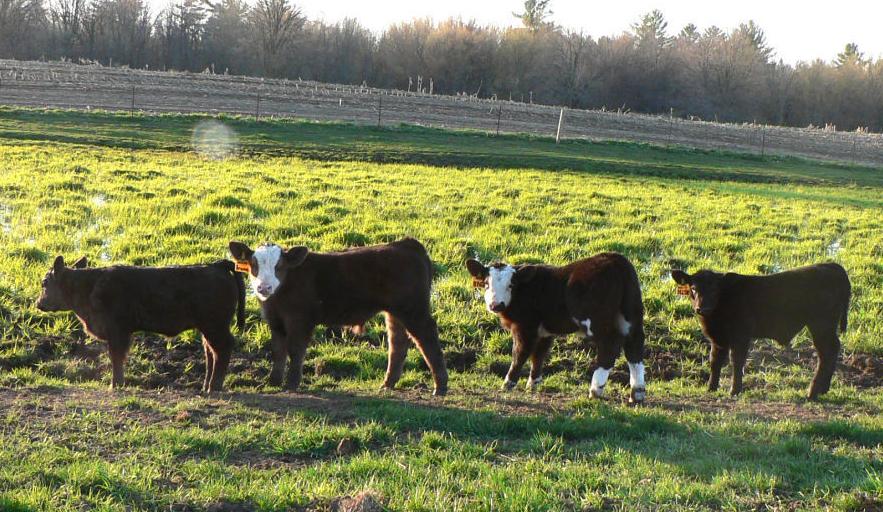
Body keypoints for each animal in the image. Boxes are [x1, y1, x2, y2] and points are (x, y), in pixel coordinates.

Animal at [35, 256, 246, 392]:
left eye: (45, 282)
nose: (38, 303)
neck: (90, 286)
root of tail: (217, 265)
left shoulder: (117, 331)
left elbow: (116, 357)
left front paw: (115, 384)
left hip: (215, 326)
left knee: (222, 349)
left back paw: (213, 388)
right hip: (207, 328)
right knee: (210, 352)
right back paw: (205, 386)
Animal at [228, 237, 449, 396]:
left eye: (279, 266)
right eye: (253, 264)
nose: (263, 288)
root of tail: (406, 244)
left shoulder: (300, 321)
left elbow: (295, 351)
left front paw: (291, 384)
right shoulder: (275, 321)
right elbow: (278, 351)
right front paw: (272, 382)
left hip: (414, 310)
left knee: (427, 338)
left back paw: (440, 387)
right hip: (395, 312)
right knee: (397, 343)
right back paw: (387, 384)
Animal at [466, 253, 647, 404]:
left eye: (511, 284)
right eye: (486, 284)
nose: (496, 305)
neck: (525, 291)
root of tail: (616, 260)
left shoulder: (525, 327)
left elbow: (520, 353)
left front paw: (508, 383)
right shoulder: (545, 331)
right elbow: (538, 355)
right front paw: (533, 384)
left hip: (597, 321)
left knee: (610, 347)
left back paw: (595, 390)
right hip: (631, 315)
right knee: (634, 346)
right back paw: (637, 393)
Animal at [671, 263, 851, 399]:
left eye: (715, 289)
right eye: (693, 288)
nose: (703, 308)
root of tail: (832, 266)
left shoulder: (741, 336)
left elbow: (737, 361)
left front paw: (734, 390)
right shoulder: (718, 339)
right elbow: (715, 361)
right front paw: (711, 388)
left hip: (821, 325)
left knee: (826, 352)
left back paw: (812, 393)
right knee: (832, 350)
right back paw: (823, 389)